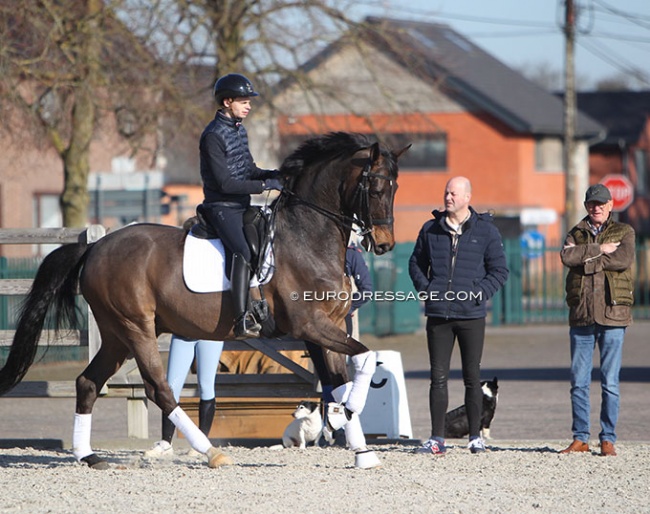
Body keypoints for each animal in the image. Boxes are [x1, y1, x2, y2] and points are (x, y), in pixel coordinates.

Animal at [0, 131, 404, 468]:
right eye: (375, 186)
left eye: (395, 187)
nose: (385, 244)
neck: (308, 236)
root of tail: (96, 247)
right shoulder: (311, 326)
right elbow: (364, 359)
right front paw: (347, 412)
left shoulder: (327, 327)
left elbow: (343, 375)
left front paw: (360, 447)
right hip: (136, 328)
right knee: (160, 389)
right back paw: (210, 452)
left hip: (117, 334)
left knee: (88, 382)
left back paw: (89, 456)